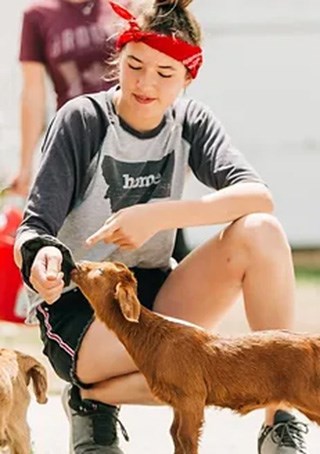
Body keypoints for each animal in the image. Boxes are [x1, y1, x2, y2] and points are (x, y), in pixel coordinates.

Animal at [72, 260, 320, 454]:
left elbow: (186, 438)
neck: (154, 339)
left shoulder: (191, 396)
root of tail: (312, 341)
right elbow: (175, 435)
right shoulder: (177, 401)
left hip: (308, 394)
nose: (76, 265)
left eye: (100, 271)